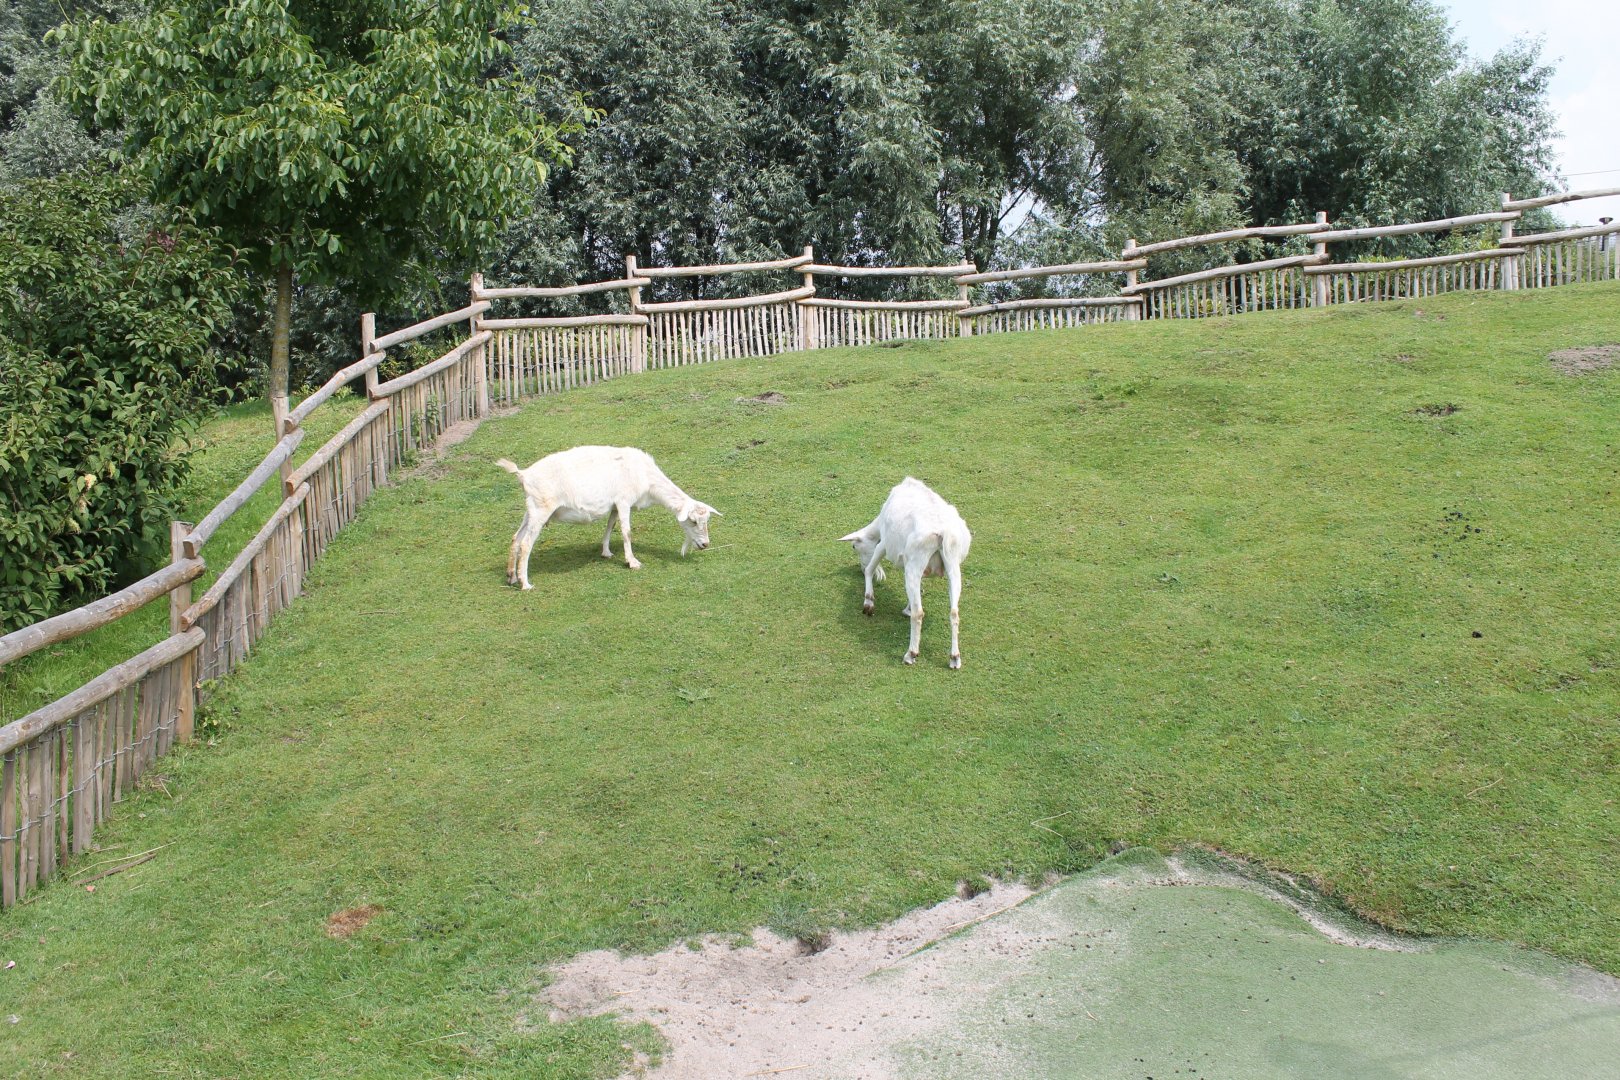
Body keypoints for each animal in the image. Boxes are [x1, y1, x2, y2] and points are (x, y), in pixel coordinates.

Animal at [496, 446, 720, 589]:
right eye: (693, 521)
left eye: (706, 521)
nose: (705, 544)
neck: (647, 480)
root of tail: (523, 474)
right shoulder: (624, 501)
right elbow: (626, 532)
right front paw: (633, 562)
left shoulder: (614, 505)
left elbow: (610, 526)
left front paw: (606, 552)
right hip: (541, 508)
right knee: (526, 544)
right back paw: (525, 583)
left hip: (531, 510)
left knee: (515, 538)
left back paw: (511, 577)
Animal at [839, 477, 970, 668]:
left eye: (854, 546)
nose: (859, 569)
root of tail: (943, 533)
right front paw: (907, 607)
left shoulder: (884, 544)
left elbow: (871, 568)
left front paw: (868, 602)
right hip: (952, 565)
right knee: (954, 612)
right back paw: (954, 658)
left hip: (915, 563)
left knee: (919, 613)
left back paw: (911, 654)